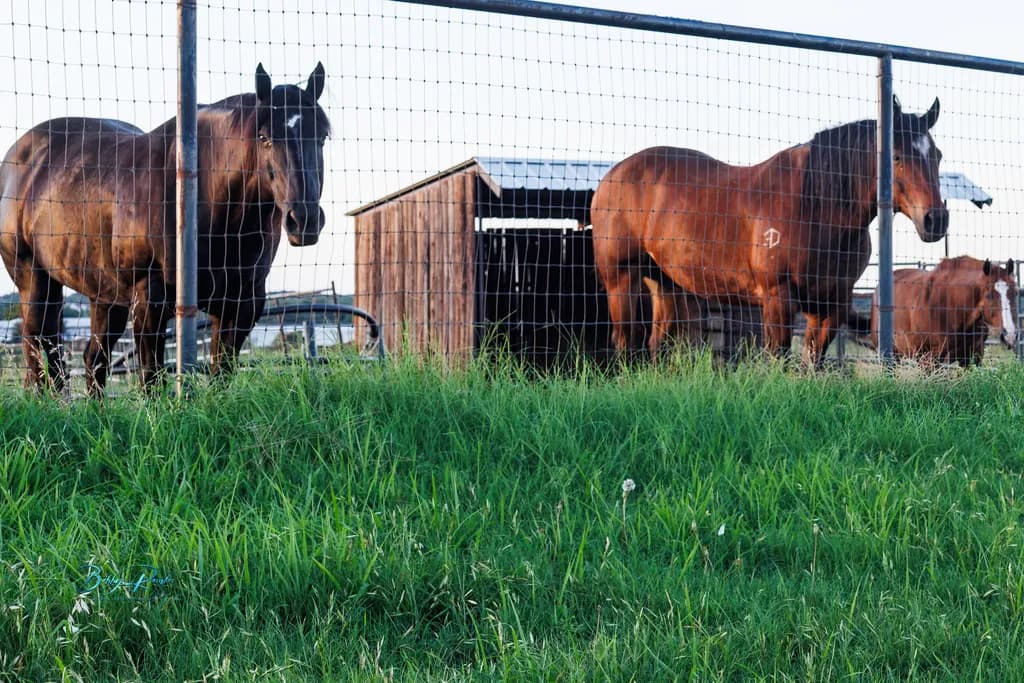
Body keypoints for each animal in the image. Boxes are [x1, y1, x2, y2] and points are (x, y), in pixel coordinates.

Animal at [0, 63, 330, 396]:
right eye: (263, 137)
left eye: (323, 136)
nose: (303, 220)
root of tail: (18, 156)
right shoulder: (150, 302)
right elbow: (152, 381)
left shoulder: (243, 304)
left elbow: (221, 375)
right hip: (35, 282)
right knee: (42, 352)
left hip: (105, 295)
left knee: (93, 359)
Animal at [590, 96, 949, 367]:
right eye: (897, 156)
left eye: (937, 155)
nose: (935, 219)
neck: (816, 206)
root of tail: (611, 179)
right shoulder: (778, 297)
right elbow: (779, 356)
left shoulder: (832, 302)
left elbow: (813, 360)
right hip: (622, 279)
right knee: (626, 340)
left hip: (665, 282)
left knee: (658, 342)